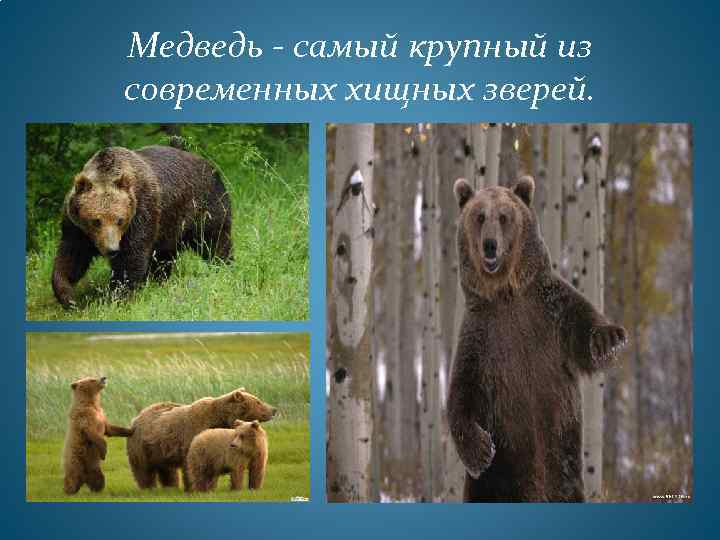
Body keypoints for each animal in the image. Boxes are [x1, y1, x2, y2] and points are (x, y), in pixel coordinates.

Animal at [51, 140, 233, 308]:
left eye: (120, 220)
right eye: (96, 221)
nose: (112, 250)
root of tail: (208, 163)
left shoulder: (141, 213)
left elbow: (132, 257)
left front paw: (117, 296)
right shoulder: (77, 229)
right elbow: (71, 257)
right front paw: (68, 297)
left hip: (203, 208)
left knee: (214, 240)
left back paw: (223, 265)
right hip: (169, 227)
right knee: (164, 256)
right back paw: (160, 280)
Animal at [126, 388, 276, 491]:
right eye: (258, 401)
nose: (273, 410)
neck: (219, 418)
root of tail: (136, 418)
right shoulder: (192, 434)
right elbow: (191, 463)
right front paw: (193, 488)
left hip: (160, 450)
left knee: (167, 470)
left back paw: (171, 486)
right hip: (142, 447)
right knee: (144, 470)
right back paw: (148, 487)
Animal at [446, 175, 627, 502]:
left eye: (504, 216)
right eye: (479, 216)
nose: (490, 245)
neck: (506, 292)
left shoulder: (549, 312)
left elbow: (583, 328)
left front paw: (610, 338)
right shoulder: (481, 338)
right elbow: (463, 392)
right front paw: (481, 451)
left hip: (563, 463)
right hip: (501, 478)